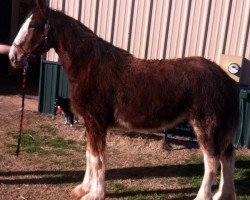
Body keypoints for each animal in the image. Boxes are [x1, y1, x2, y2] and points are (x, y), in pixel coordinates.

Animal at [8, 0, 239, 199]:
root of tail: (226, 79)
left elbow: (98, 159)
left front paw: (95, 194)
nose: (13, 57)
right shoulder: (90, 124)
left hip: (206, 126)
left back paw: (204, 196)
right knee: (228, 156)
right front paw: (83, 189)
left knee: (212, 162)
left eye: (33, 24)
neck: (89, 65)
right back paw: (224, 195)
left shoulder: (96, 122)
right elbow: (89, 156)